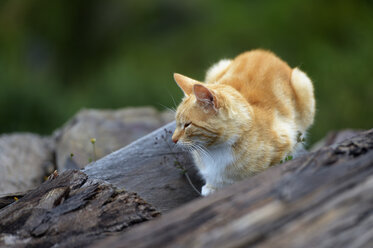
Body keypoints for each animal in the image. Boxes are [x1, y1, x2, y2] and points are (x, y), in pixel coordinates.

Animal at [171, 49, 314, 196]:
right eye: (177, 123)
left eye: (187, 125)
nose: (173, 139)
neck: (216, 150)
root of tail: (263, 52)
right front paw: (211, 187)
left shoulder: (286, 141)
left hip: (303, 85)